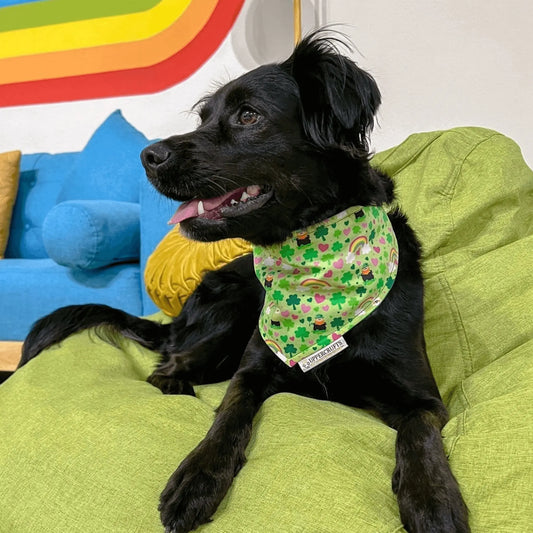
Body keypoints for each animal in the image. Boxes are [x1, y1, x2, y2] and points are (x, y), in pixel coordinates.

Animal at [18, 33, 468, 532]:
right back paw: (176, 385)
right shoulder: (251, 371)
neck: (317, 279)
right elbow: (229, 415)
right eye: (203, 117)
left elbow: (418, 431)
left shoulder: (423, 398)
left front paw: (432, 498)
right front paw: (197, 475)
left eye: (248, 115)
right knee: (168, 366)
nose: (147, 157)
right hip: (231, 314)